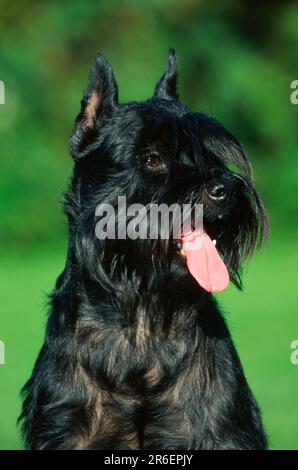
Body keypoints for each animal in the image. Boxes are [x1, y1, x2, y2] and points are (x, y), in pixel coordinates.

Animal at [19, 49, 268, 450]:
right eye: (152, 158)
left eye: (211, 154)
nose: (225, 188)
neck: (142, 324)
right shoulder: (67, 429)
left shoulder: (219, 431)